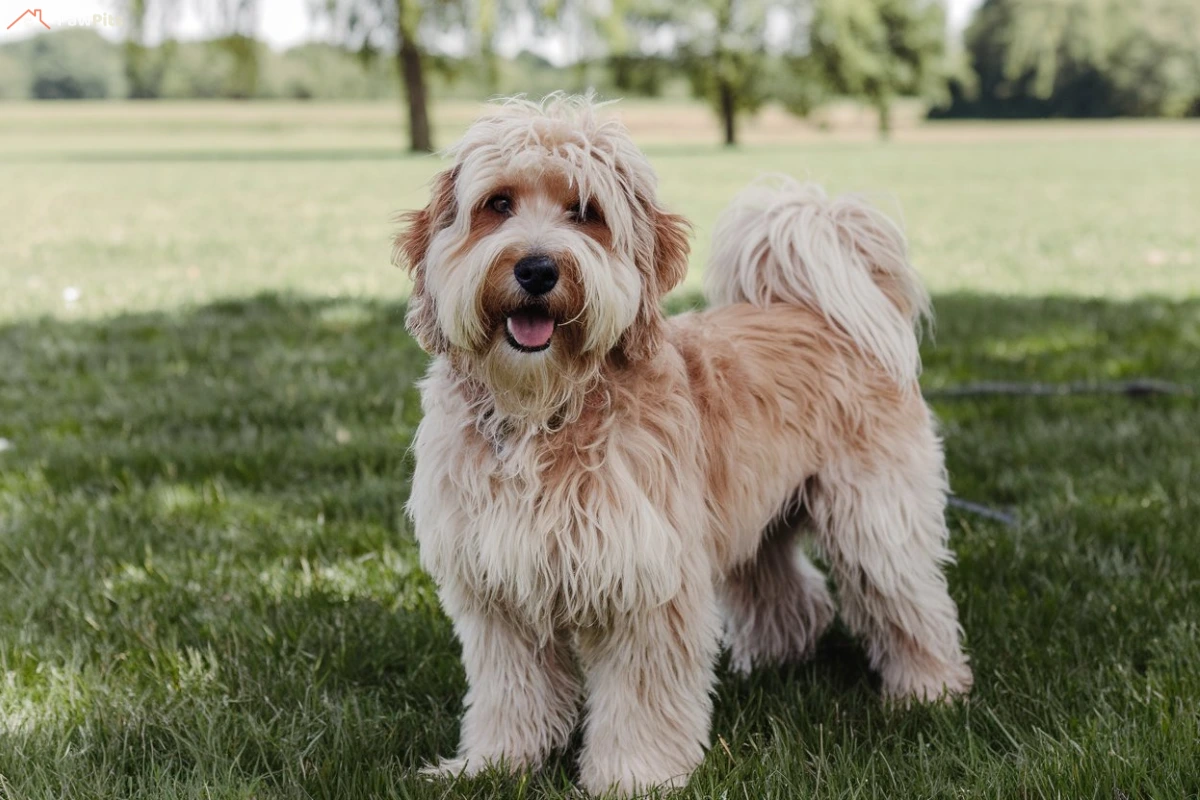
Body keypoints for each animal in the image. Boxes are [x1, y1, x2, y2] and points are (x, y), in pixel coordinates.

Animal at [398, 92, 969, 796]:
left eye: (586, 213)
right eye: (497, 204)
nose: (536, 268)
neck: (545, 410)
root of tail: (824, 311)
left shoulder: (646, 580)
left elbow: (641, 697)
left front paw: (632, 777)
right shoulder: (498, 589)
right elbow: (512, 692)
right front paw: (492, 765)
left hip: (874, 517)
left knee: (910, 599)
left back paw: (928, 691)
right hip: (757, 517)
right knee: (789, 592)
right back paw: (772, 660)